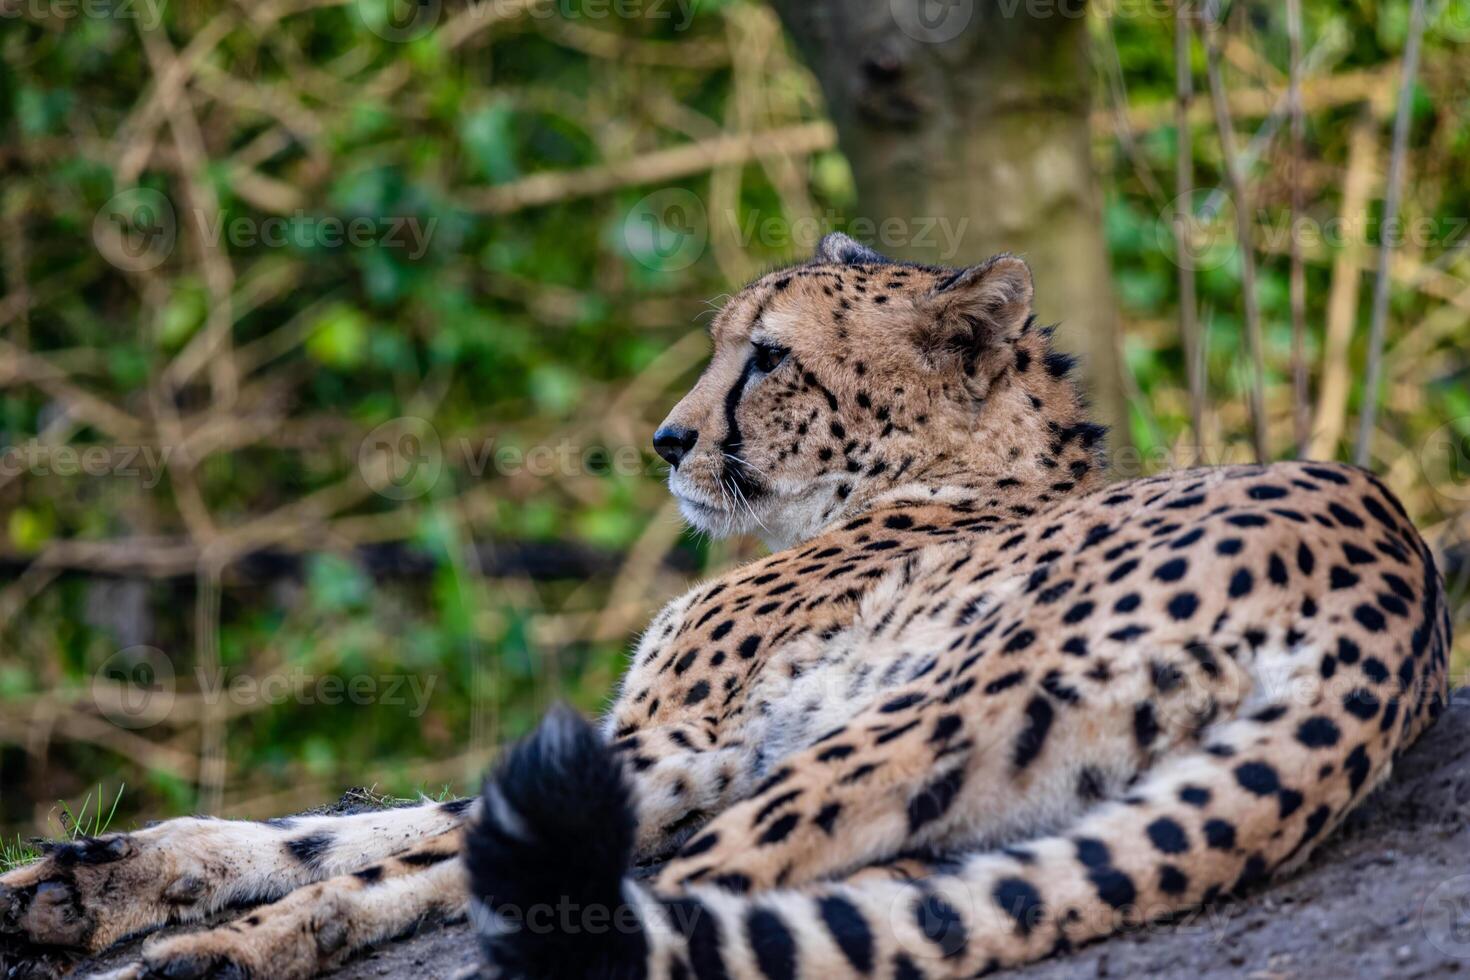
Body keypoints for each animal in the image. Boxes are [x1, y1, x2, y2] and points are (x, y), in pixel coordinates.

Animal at [0, 233, 1446, 975]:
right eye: (718, 342)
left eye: (767, 359)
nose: (666, 439)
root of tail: (1392, 587)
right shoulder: (659, 749)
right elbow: (353, 833)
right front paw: (87, 883)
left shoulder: (688, 741)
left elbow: (404, 852)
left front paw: (230, 935)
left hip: (888, 734)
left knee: (675, 914)